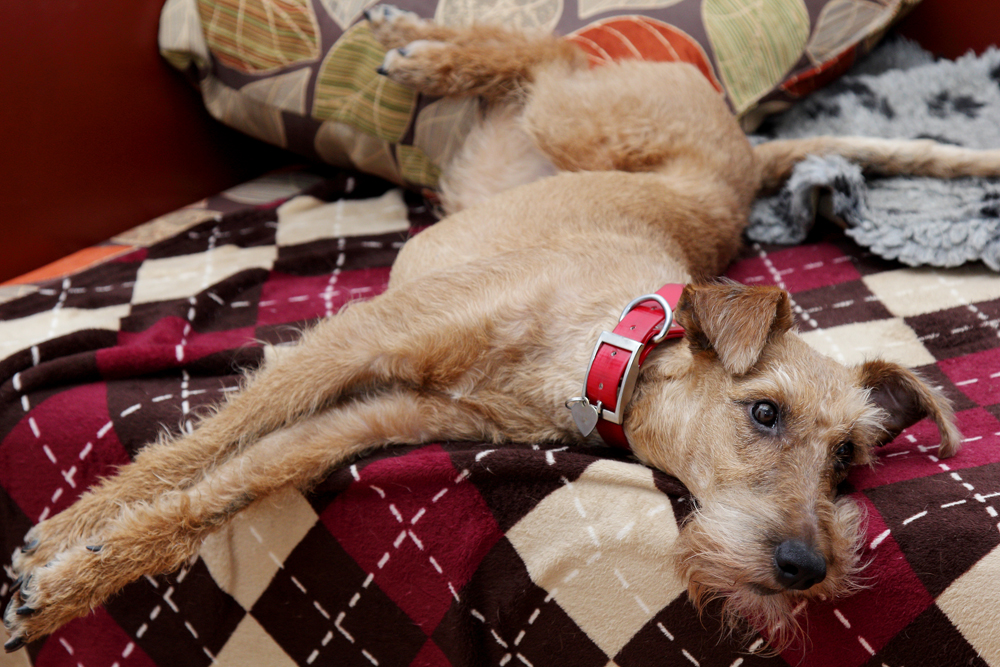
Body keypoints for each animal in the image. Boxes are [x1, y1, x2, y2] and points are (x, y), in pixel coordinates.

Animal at [6, 8, 1000, 653]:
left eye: (848, 460)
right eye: (764, 412)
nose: (805, 563)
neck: (608, 348)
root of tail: (748, 154)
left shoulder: (379, 414)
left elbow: (228, 483)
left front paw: (76, 574)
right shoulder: (357, 338)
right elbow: (196, 446)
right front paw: (67, 541)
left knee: (542, 69)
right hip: (583, 119)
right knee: (552, 54)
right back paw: (415, 49)